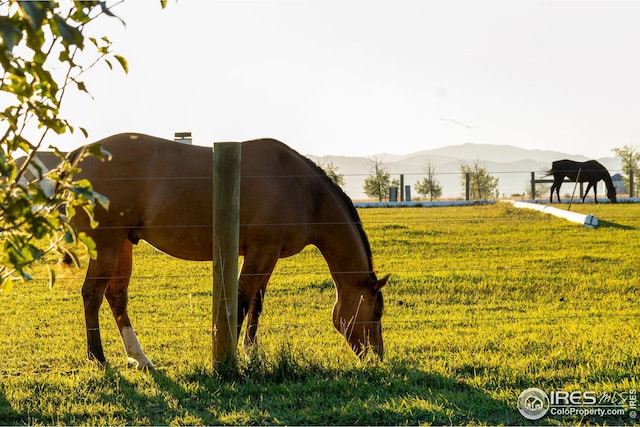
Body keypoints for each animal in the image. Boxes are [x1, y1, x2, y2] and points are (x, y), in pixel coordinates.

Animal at [70, 135, 390, 372]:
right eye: (376, 312)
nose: (377, 356)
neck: (302, 191)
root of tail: (80, 155)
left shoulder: (267, 255)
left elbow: (257, 304)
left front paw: (251, 353)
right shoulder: (261, 252)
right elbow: (242, 300)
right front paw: (230, 357)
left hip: (122, 244)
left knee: (116, 296)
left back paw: (140, 358)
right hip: (107, 244)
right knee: (92, 294)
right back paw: (98, 358)